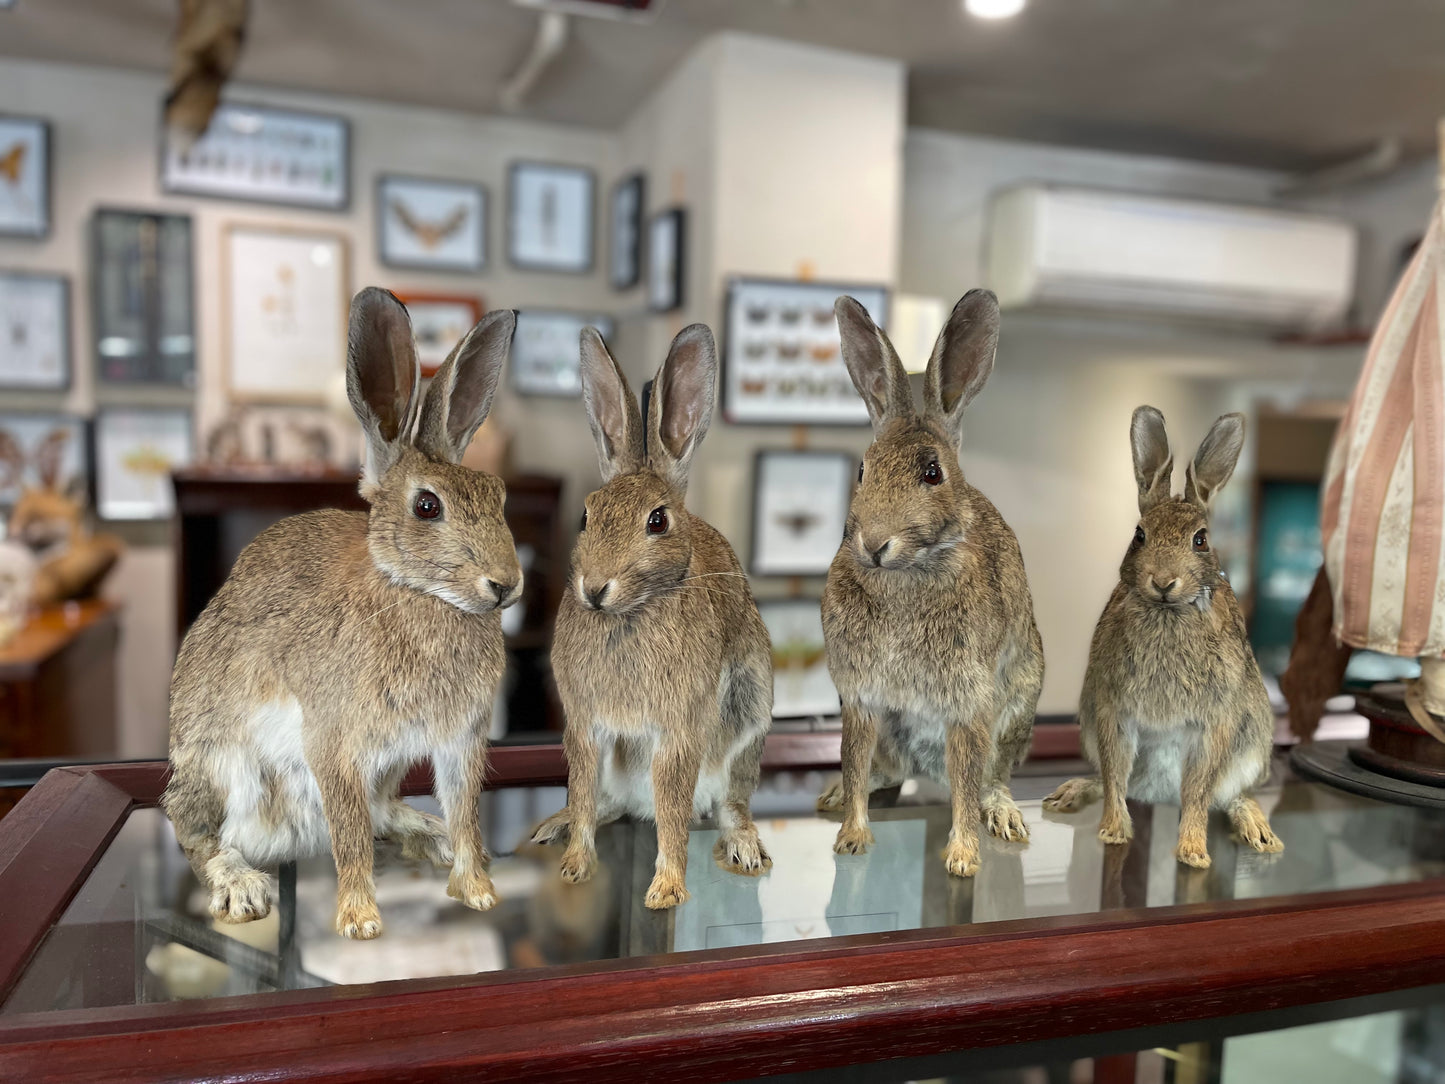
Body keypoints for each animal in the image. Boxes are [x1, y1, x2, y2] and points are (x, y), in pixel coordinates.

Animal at [161, 290, 523, 942]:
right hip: (226, 767)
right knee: (198, 833)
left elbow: (464, 811)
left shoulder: (460, 740)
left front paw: (478, 891)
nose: (506, 585)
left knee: (386, 814)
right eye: (427, 506)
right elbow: (350, 835)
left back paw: (429, 839)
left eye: (499, 495)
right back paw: (242, 887)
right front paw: (360, 923)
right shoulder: (335, 743)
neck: (419, 593)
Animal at [534, 320, 780, 907]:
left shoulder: (678, 733)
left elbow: (671, 808)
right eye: (585, 515)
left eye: (658, 521)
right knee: (600, 803)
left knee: (729, 802)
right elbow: (582, 788)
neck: (631, 611)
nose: (594, 588)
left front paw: (666, 891)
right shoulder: (584, 728)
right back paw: (554, 827)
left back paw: (745, 849)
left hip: (750, 717)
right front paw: (575, 867)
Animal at [820, 293, 1046, 878]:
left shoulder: (967, 703)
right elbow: (854, 761)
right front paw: (851, 837)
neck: (906, 573)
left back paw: (1004, 815)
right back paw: (833, 796)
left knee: (986, 778)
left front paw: (964, 858)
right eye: (862, 470)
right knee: (880, 770)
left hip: (1016, 710)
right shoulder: (860, 698)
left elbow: (966, 778)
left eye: (932, 472)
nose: (874, 542)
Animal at [1040, 410, 1288, 872]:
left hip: (1251, 749)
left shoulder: (1214, 723)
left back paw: (1259, 832)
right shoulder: (1112, 711)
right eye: (1139, 535)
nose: (1163, 581)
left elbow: (1198, 789)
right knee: (1111, 780)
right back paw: (1069, 794)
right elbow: (1115, 774)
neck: (1168, 613)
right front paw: (1113, 832)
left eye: (1201, 539)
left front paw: (1192, 853)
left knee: (1230, 796)